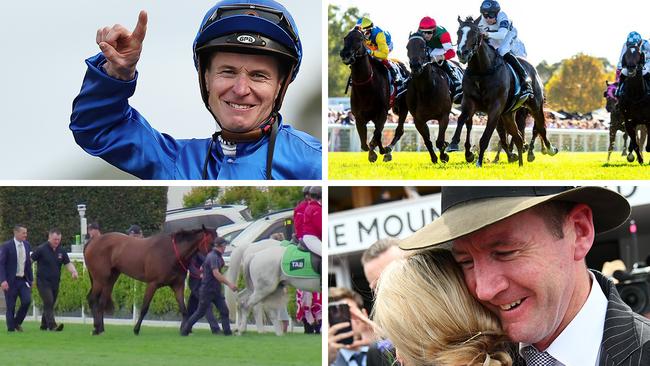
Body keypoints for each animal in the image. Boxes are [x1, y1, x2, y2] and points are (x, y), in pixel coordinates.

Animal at [82, 227, 214, 336]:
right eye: (212, 242)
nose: (215, 257)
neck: (170, 252)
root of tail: (92, 241)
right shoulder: (152, 284)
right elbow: (145, 307)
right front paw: (136, 329)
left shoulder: (178, 285)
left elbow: (184, 308)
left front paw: (185, 330)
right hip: (99, 279)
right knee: (92, 298)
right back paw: (96, 328)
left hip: (110, 279)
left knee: (101, 301)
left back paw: (101, 328)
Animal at [340, 29, 404, 164]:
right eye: (345, 38)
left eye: (359, 39)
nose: (345, 54)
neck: (366, 86)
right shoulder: (358, 116)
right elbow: (364, 143)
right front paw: (373, 152)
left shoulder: (382, 112)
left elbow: (377, 133)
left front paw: (380, 150)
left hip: (403, 107)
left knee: (399, 130)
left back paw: (388, 151)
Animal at [404, 32, 450, 164]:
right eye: (407, 47)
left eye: (423, 47)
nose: (415, 66)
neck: (426, 90)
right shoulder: (418, 120)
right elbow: (427, 141)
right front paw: (434, 158)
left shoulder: (444, 115)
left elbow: (439, 141)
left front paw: (444, 155)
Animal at [450, 16, 552, 167]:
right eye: (459, 32)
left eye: (475, 32)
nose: (462, 53)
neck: (482, 71)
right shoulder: (470, 102)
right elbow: (462, 119)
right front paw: (455, 144)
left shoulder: (495, 108)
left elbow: (486, 137)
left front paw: (479, 162)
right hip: (508, 114)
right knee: (518, 137)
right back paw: (520, 164)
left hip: (535, 106)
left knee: (540, 127)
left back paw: (549, 149)